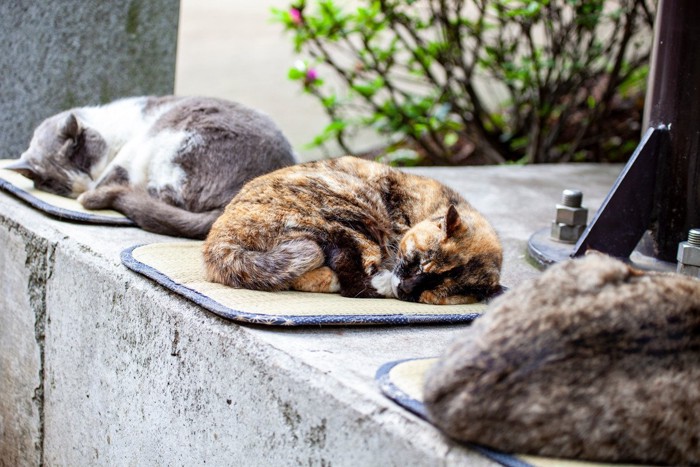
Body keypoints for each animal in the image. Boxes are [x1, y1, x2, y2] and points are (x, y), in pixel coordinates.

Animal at [5, 96, 296, 239]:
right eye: (62, 186)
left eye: (85, 162)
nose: (84, 186)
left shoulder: (128, 151)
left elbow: (115, 173)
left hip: (169, 137)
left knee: (166, 197)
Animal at [202, 155, 504, 306]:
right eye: (421, 262)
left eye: (437, 291)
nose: (406, 288)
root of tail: (219, 241)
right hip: (351, 210)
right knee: (349, 272)